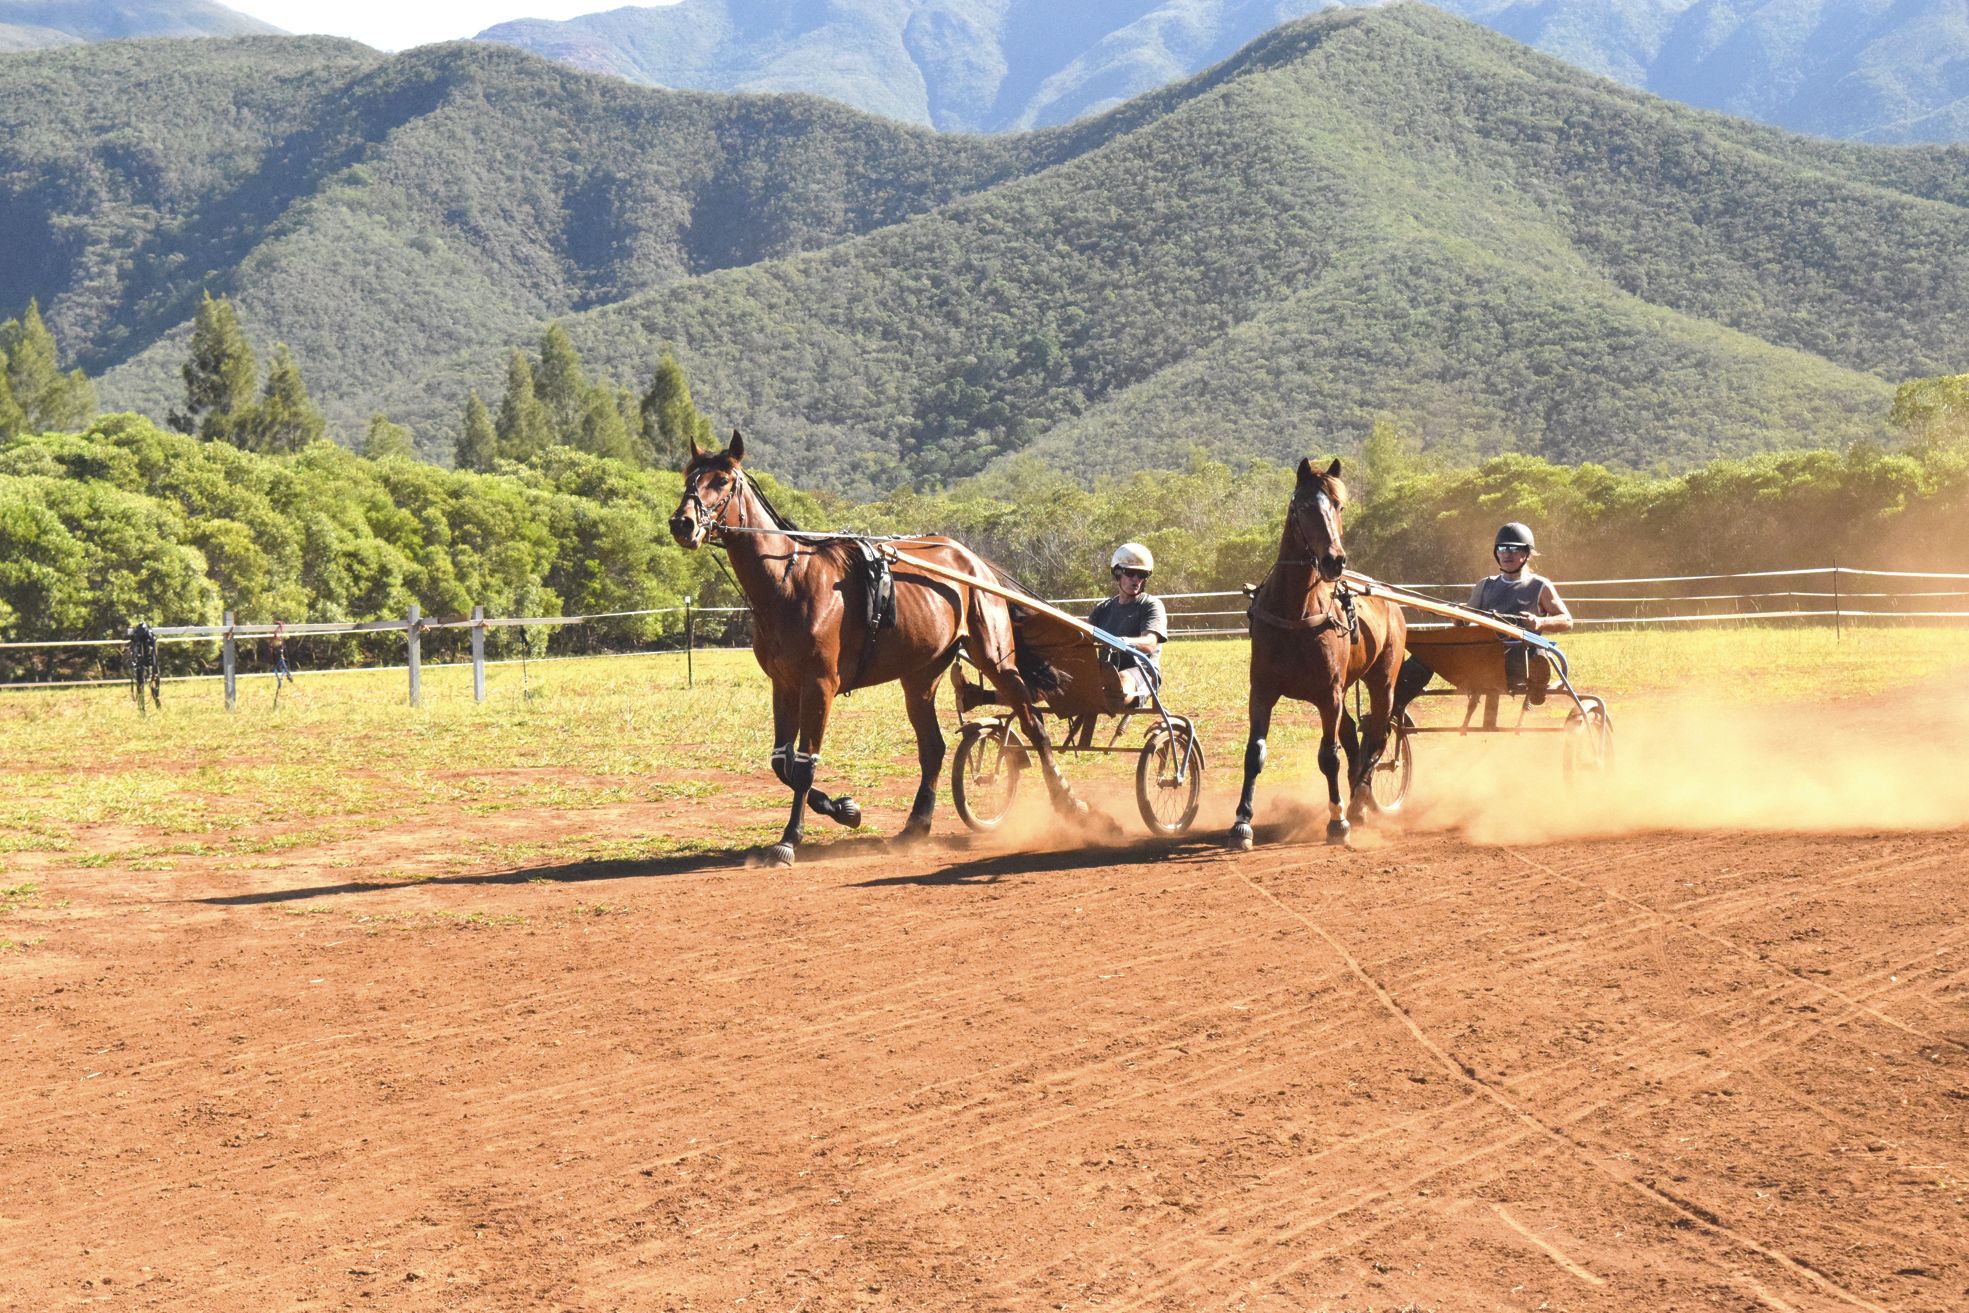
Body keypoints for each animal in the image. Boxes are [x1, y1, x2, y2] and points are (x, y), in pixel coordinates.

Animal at [673, 427, 1079, 866]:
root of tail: (973, 560)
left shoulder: (819, 685)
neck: (791, 580)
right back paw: (916, 825)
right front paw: (844, 809)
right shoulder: (784, 685)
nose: (682, 523)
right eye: (688, 478)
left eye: (722, 481)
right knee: (933, 748)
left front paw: (790, 839)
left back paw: (1068, 802)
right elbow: (782, 763)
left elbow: (804, 766)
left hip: (996, 659)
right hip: (920, 676)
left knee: (1034, 726)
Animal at [1220, 460, 1409, 854]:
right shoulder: (1262, 691)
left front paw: (1337, 821)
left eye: (1339, 505)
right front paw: (1242, 823)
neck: (1295, 611)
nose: (1334, 559)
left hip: (1382, 681)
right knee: (1354, 735)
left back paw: (1357, 804)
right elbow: (1254, 753)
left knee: (1378, 736)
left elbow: (1329, 755)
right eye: (1304, 506)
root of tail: (1389, 601)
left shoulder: (1328, 695)